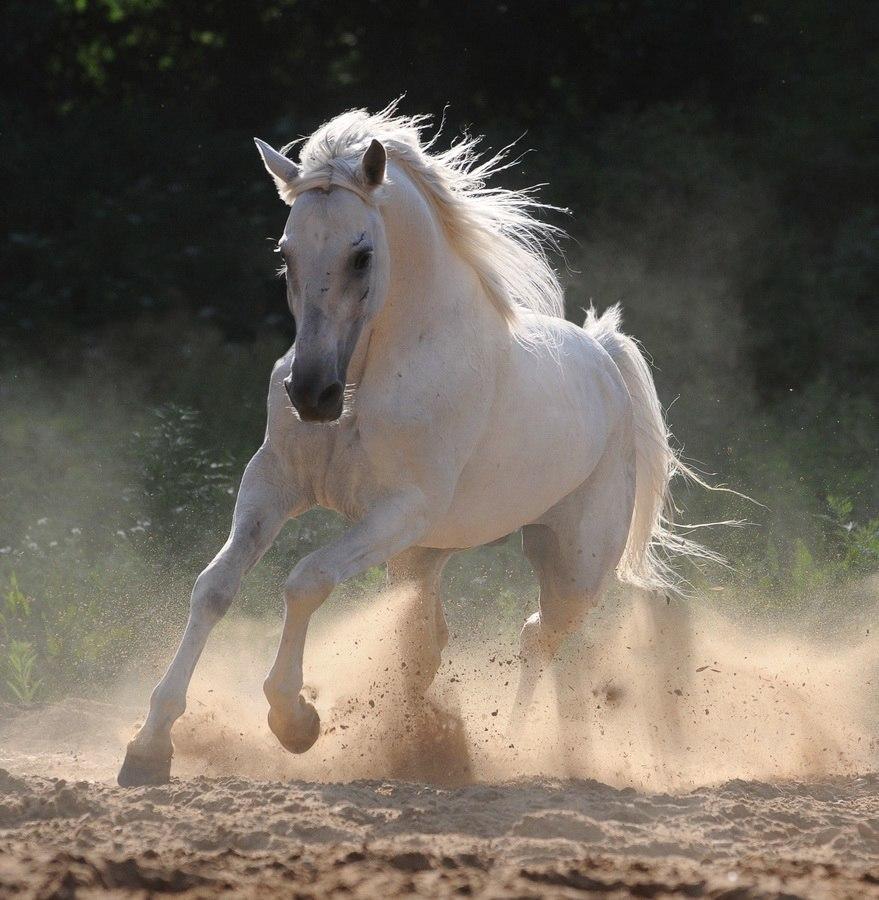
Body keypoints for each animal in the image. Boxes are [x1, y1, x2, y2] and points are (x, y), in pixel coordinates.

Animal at [118, 102, 708, 784]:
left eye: (361, 255)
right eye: (285, 253)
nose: (311, 395)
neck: (367, 379)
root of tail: (606, 356)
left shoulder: (400, 511)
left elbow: (305, 579)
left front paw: (295, 720)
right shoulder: (273, 482)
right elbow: (214, 587)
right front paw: (148, 746)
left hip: (575, 560)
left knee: (542, 636)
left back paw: (520, 749)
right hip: (428, 557)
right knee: (452, 640)